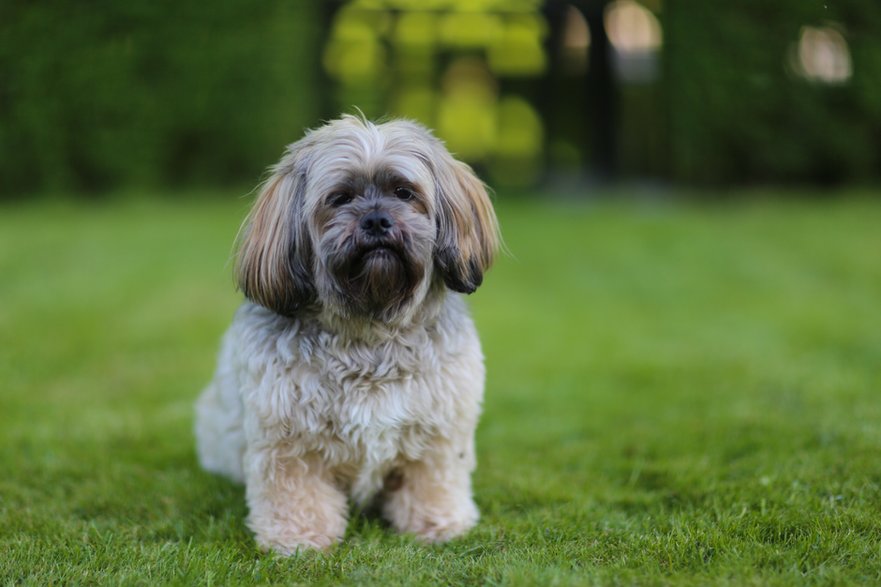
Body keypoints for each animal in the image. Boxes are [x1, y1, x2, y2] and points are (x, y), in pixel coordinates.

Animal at [195, 116, 498, 556]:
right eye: (340, 198)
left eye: (404, 192)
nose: (375, 220)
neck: (368, 332)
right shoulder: (288, 438)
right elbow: (295, 492)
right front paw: (299, 538)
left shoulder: (440, 430)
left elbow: (432, 480)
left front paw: (437, 524)